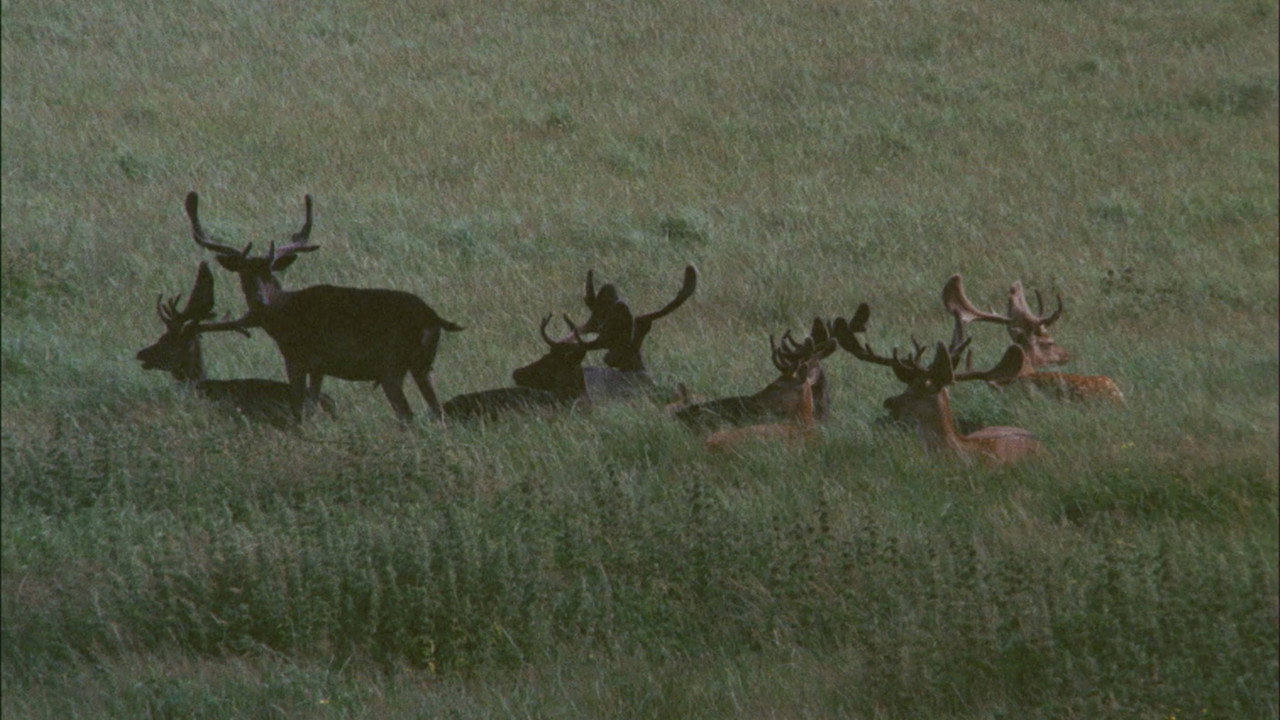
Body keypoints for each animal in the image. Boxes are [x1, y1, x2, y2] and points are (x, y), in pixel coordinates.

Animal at [183, 192, 463, 423]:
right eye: (244, 275)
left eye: (270, 274)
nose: (260, 300)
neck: (283, 314)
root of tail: (433, 317)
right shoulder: (320, 366)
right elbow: (311, 404)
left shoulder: (296, 356)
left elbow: (298, 406)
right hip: (423, 365)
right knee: (436, 411)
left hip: (391, 366)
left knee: (407, 414)